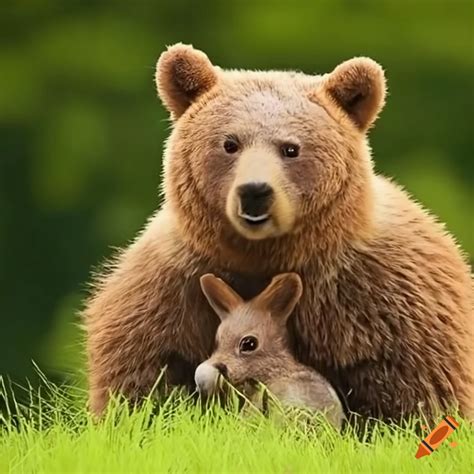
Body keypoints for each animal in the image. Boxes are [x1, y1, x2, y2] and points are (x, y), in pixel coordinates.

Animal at [85, 44, 474, 422]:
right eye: (230, 143)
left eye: (291, 148)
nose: (255, 192)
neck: (266, 255)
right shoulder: (172, 288)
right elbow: (144, 379)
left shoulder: (380, 298)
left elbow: (417, 389)